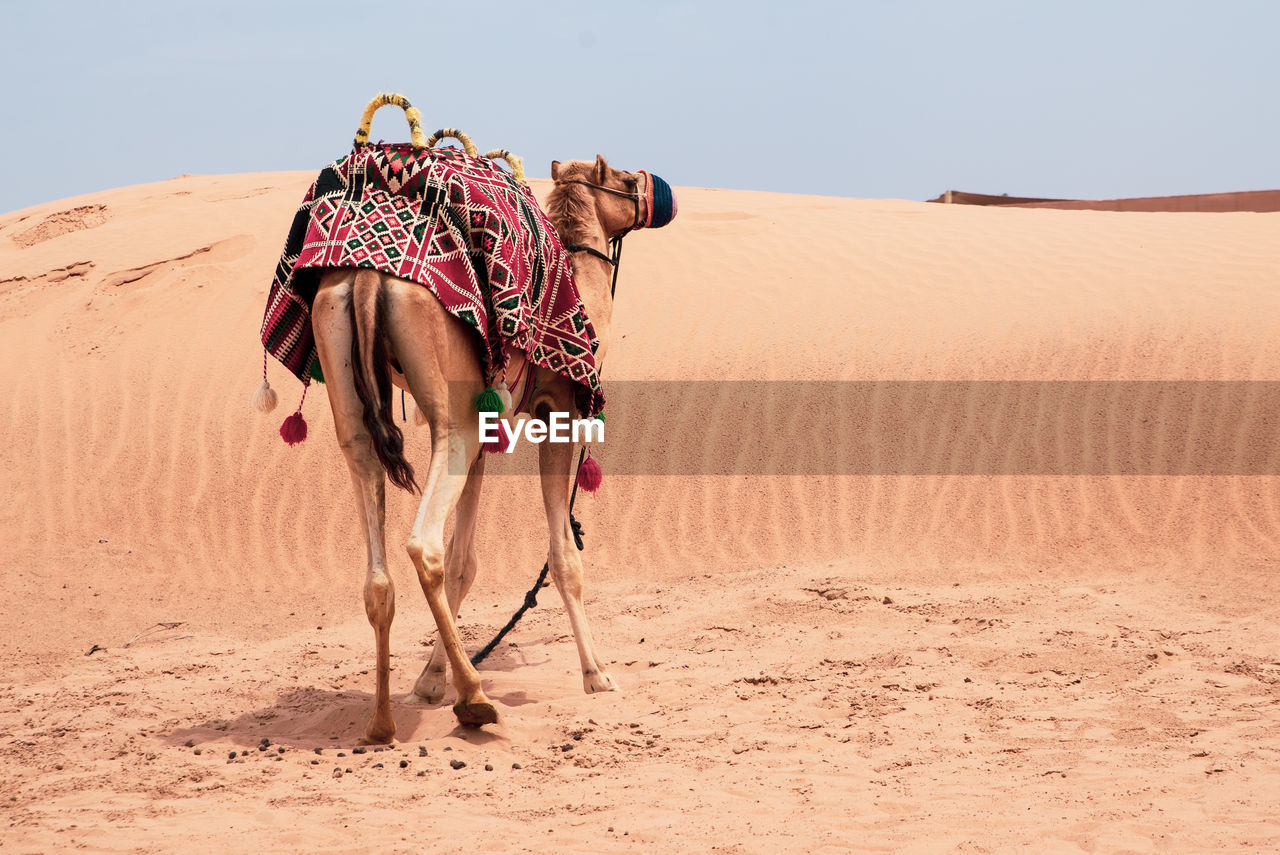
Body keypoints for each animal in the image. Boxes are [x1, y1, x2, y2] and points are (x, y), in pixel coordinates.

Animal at [307, 156, 650, 742]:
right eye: (626, 181)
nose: (654, 191)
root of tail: (369, 277)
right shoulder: (557, 410)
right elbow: (563, 557)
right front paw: (598, 676)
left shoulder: (489, 428)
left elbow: (465, 560)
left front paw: (427, 681)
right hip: (455, 424)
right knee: (423, 545)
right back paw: (475, 698)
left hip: (350, 383)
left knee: (378, 561)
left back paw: (382, 721)